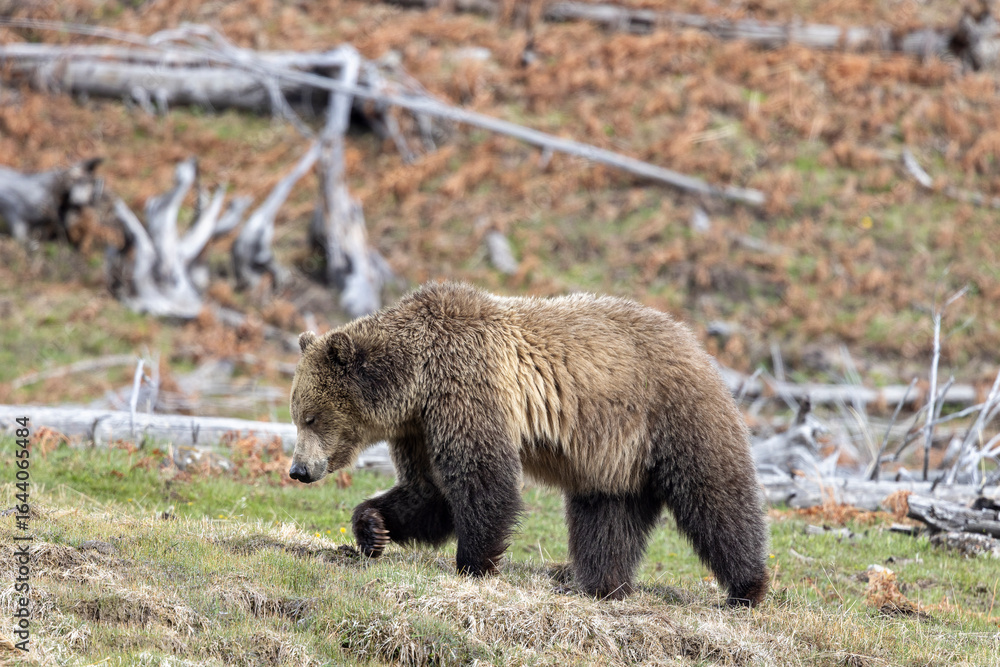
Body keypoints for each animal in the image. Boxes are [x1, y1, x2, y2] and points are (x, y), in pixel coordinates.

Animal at [288, 281, 769, 606]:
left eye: (311, 417)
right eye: (296, 415)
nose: (298, 470)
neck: (416, 381)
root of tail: (696, 343)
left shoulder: (466, 387)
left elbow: (483, 480)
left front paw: (474, 565)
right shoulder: (420, 427)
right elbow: (430, 493)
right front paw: (374, 527)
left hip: (675, 417)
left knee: (716, 500)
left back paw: (746, 587)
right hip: (613, 458)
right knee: (607, 519)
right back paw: (601, 585)